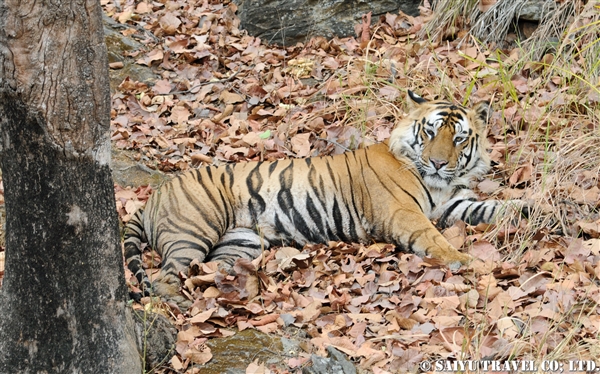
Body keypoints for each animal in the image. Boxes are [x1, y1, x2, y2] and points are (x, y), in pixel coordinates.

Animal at [124, 91, 524, 310]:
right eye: (428, 132)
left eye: (458, 139)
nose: (439, 162)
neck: (440, 184)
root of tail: (152, 198)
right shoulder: (405, 213)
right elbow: (436, 241)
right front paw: (471, 262)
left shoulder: (454, 205)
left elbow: (501, 207)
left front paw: (537, 209)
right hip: (193, 230)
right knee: (163, 276)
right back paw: (177, 303)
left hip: (237, 245)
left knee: (208, 272)